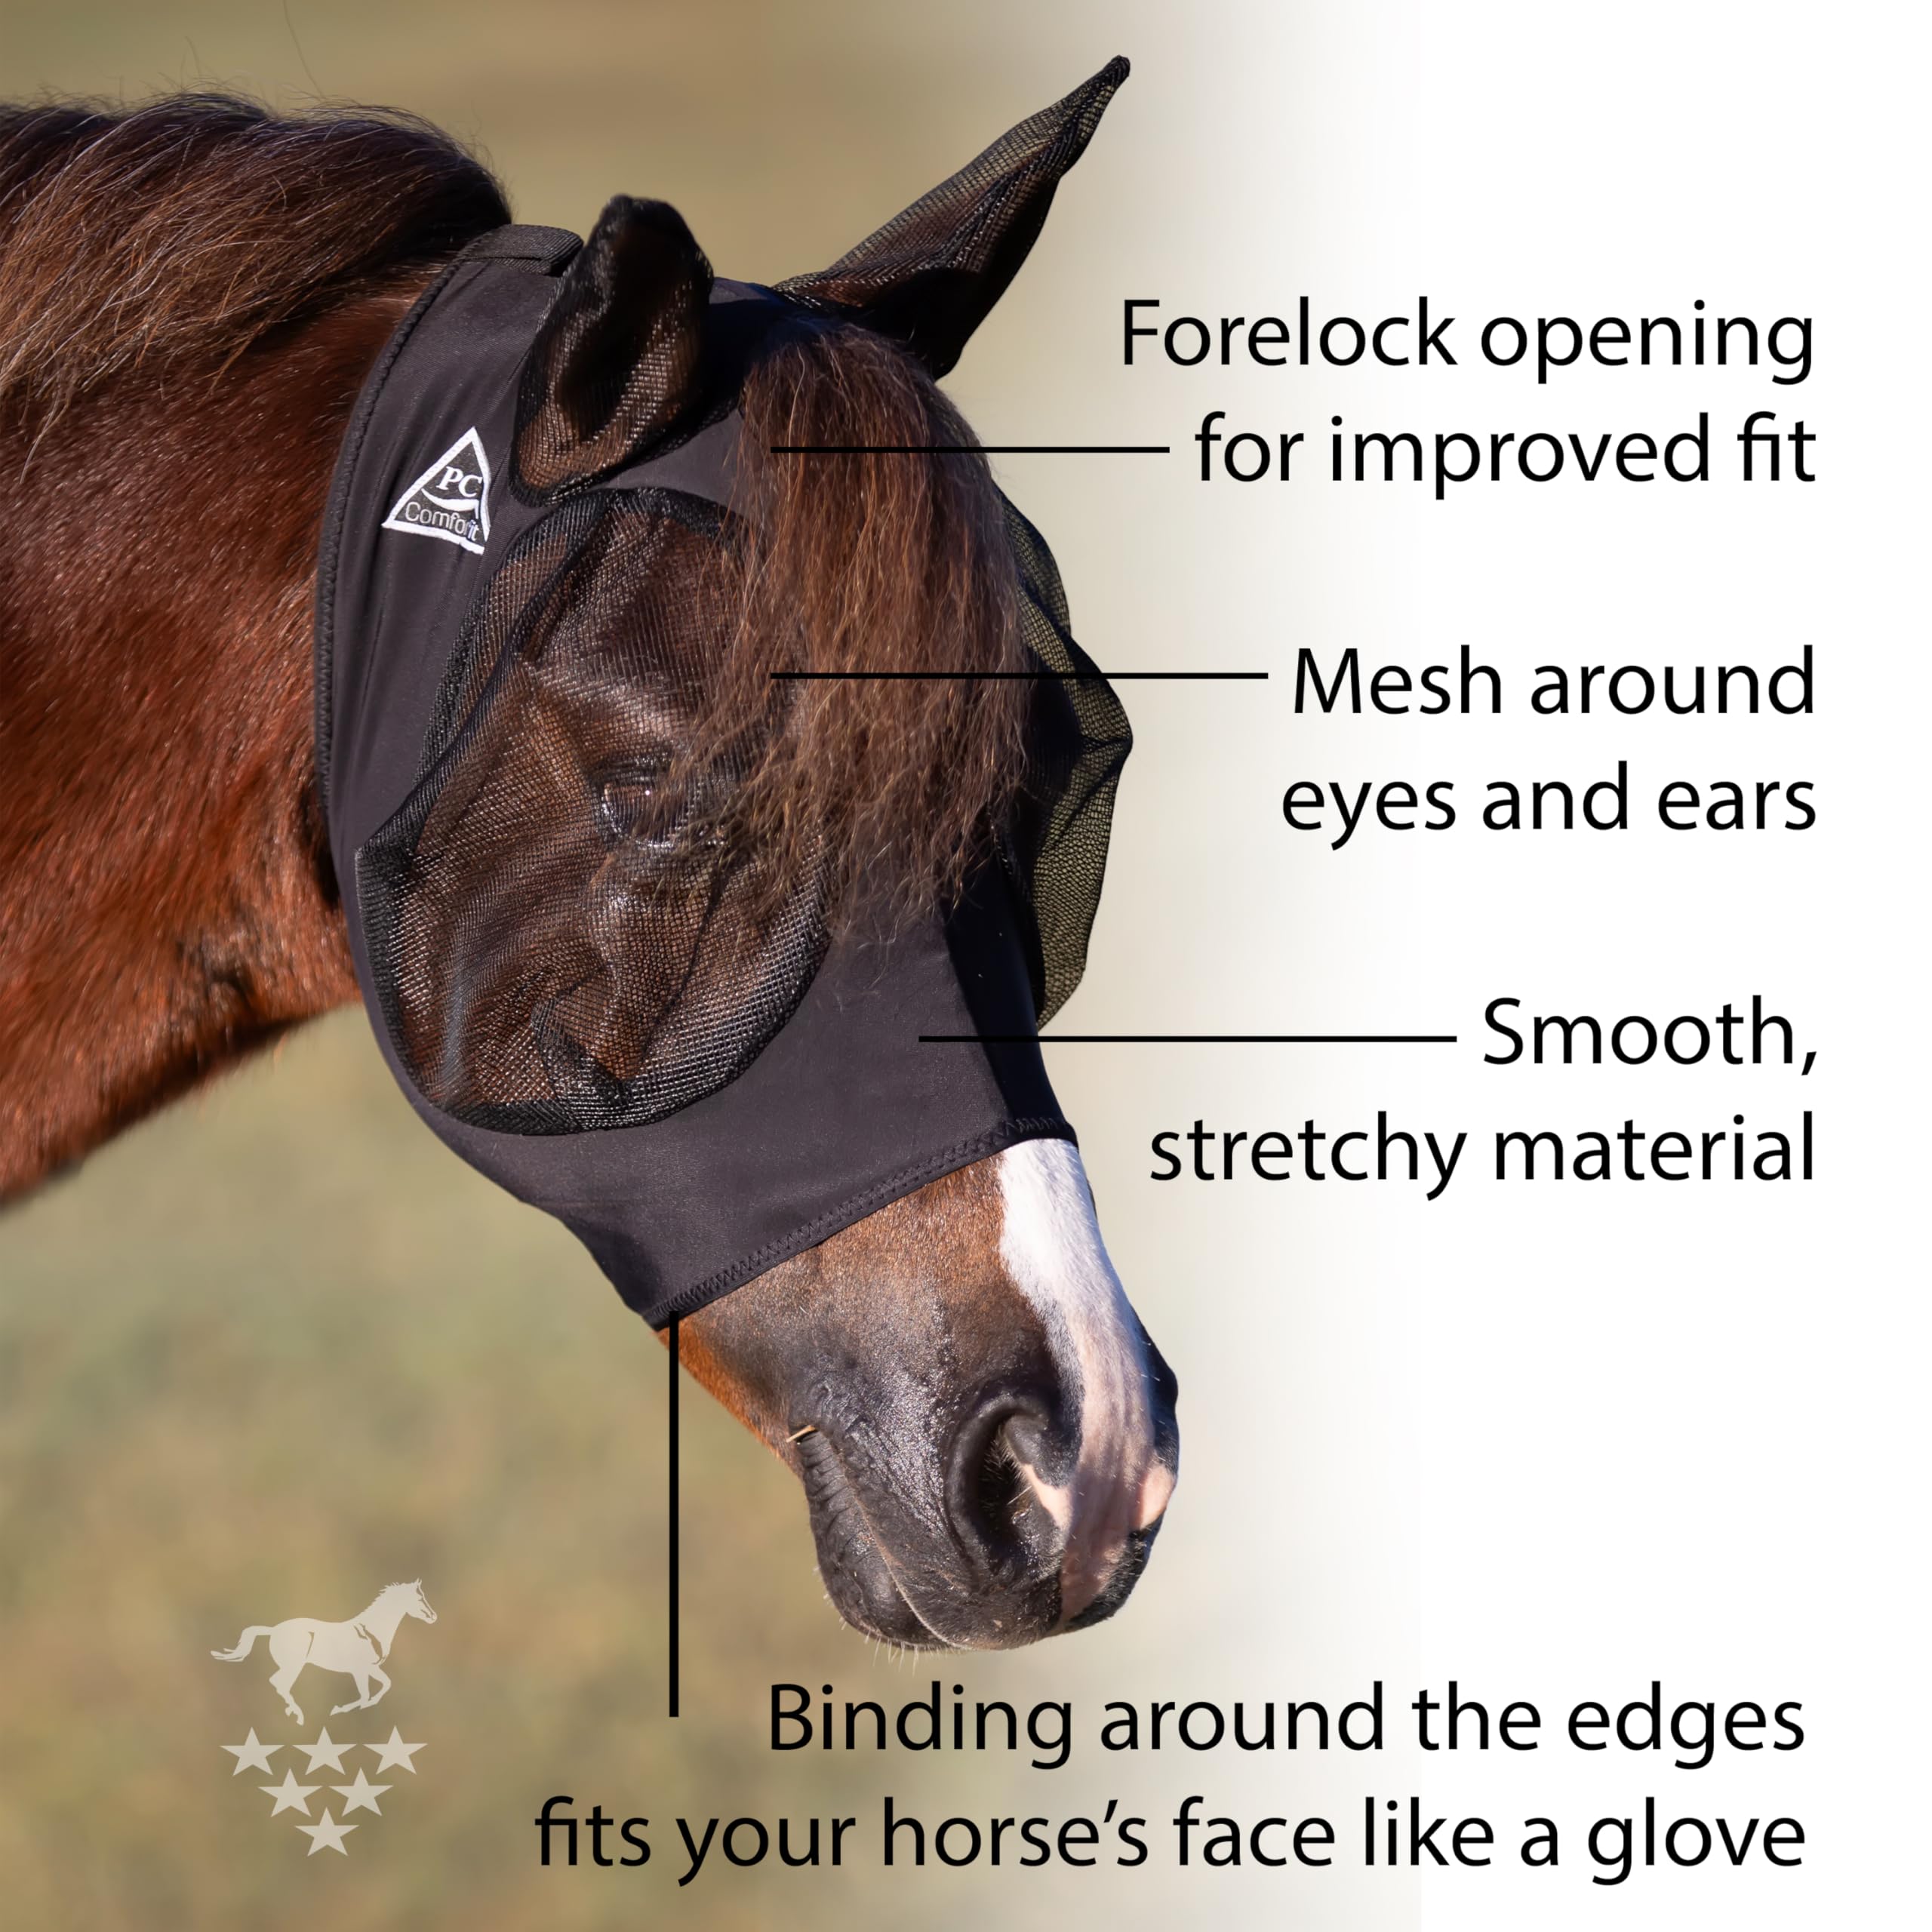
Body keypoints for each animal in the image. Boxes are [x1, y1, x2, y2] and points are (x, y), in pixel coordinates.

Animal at [212, 1580, 437, 1726]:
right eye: (419, 1598)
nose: (433, 1616)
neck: (373, 1629)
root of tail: (273, 1630)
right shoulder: (360, 1670)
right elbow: (365, 1695)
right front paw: (339, 1709)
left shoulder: (371, 1669)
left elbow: (385, 1685)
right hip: (295, 1666)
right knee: (278, 1682)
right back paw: (298, 1715)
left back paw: (291, 1711)